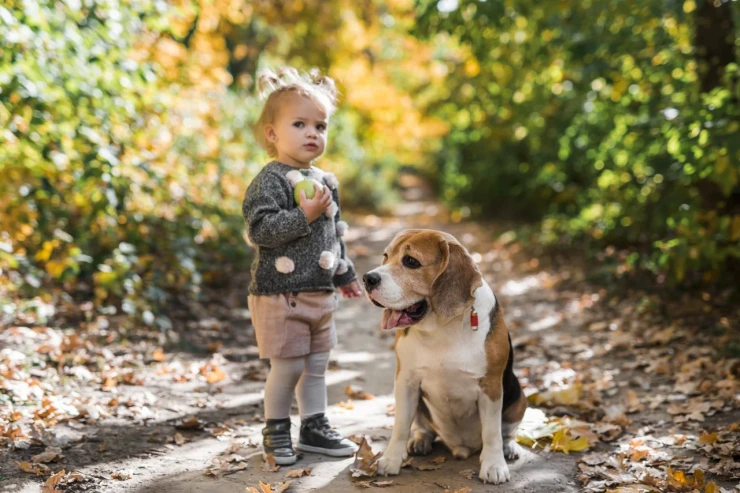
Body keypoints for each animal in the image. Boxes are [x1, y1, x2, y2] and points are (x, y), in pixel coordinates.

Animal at [362, 229, 528, 482]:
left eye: (411, 261)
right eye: (386, 256)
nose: (367, 279)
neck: (440, 327)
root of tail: (460, 447)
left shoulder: (490, 386)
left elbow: (492, 432)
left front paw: (493, 465)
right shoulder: (405, 381)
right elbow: (400, 426)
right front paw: (391, 459)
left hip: (519, 396)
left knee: (506, 431)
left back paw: (509, 447)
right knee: (422, 427)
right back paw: (420, 440)